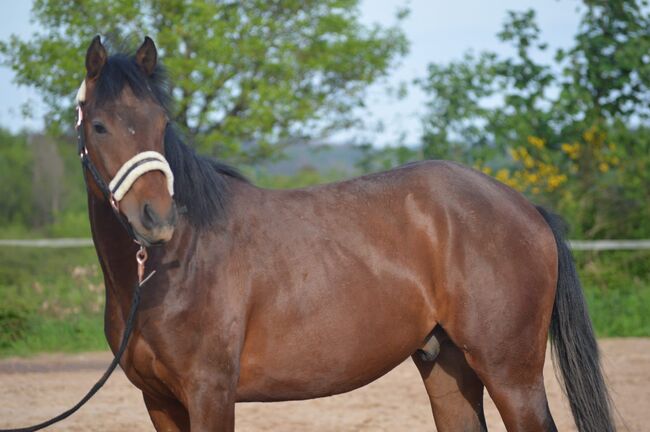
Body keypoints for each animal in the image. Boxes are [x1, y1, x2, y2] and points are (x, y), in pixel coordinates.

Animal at [76, 37, 612, 432]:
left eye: (161, 122)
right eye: (99, 126)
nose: (156, 217)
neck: (174, 269)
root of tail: (525, 208)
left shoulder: (210, 393)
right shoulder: (160, 401)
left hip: (511, 375)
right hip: (448, 369)